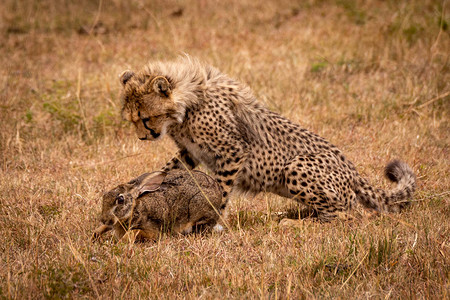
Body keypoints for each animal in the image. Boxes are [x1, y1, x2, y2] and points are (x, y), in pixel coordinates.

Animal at [118, 57, 414, 223]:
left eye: (146, 118)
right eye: (132, 120)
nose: (143, 137)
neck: (186, 105)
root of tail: (353, 171)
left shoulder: (233, 152)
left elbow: (221, 190)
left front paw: (212, 223)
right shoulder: (189, 153)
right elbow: (167, 170)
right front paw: (141, 187)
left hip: (297, 166)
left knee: (347, 214)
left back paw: (294, 224)